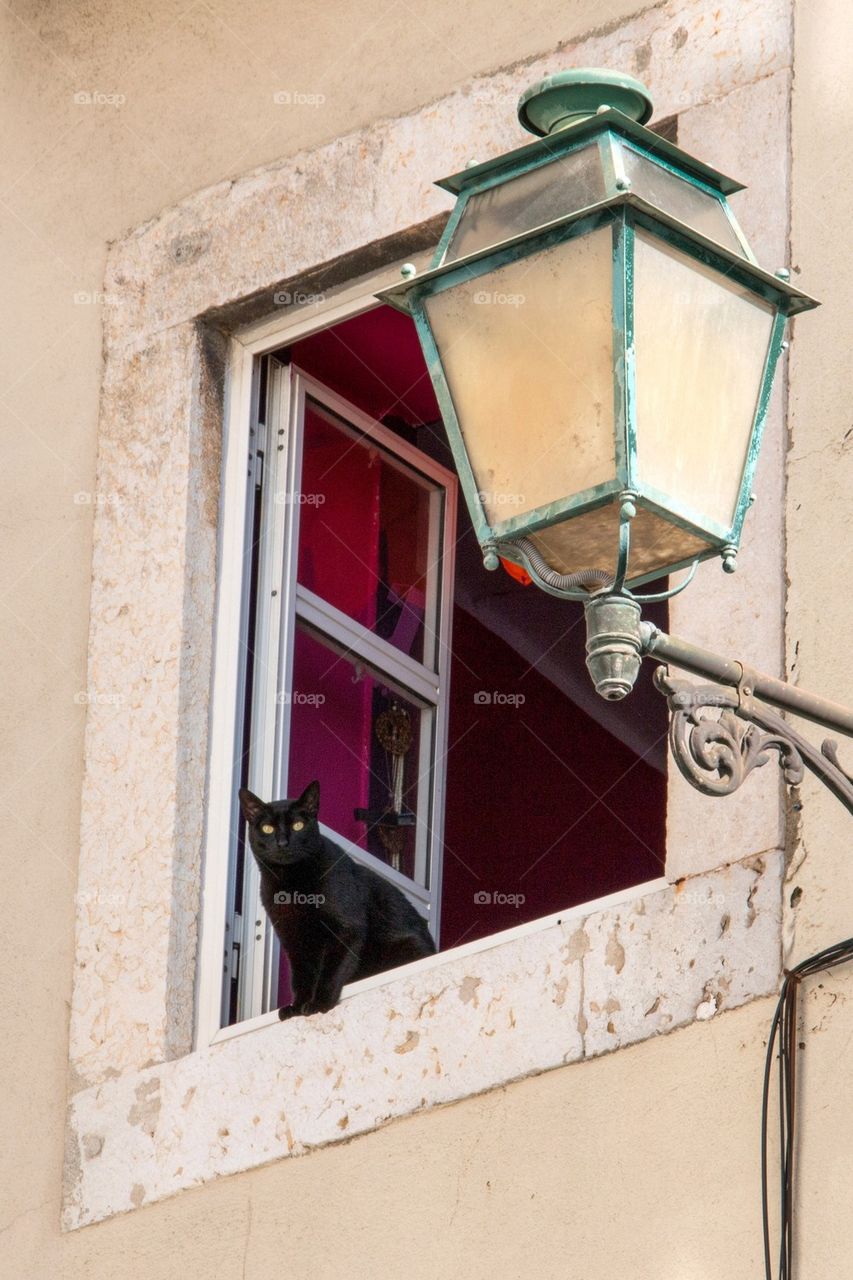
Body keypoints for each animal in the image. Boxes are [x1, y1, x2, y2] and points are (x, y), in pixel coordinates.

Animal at [239, 778, 438, 1018]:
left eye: (298, 826)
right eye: (267, 828)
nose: (282, 843)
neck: (290, 884)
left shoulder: (347, 930)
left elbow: (331, 970)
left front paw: (318, 1004)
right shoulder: (293, 940)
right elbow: (301, 977)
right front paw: (296, 1007)